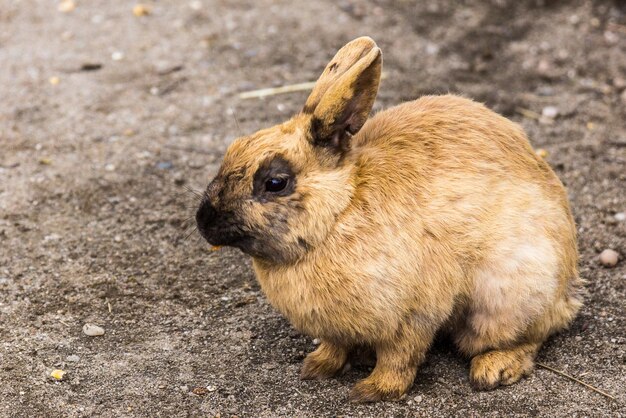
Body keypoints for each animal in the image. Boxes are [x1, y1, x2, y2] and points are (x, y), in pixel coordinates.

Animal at [194, 37, 580, 404]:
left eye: (275, 183)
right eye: (234, 147)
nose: (203, 221)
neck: (339, 213)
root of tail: (566, 290)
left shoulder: (412, 314)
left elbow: (400, 358)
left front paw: (372, 391)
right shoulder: (339, 328)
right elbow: (335, 346)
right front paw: (316, 367)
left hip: (510, 296)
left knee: (532, 335)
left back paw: (494, 368)